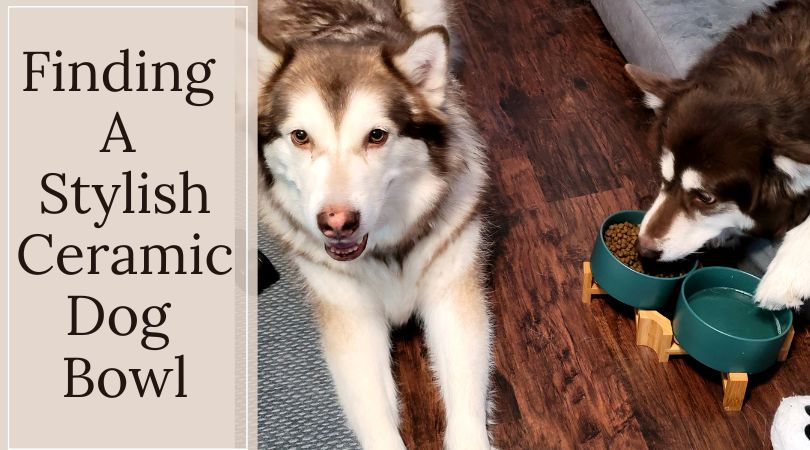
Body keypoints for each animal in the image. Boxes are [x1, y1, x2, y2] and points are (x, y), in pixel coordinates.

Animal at [258, 1, 492, 448]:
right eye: (300, 136)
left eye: (377, 136)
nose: (337, 223)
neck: (388, 246)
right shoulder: (352, 321)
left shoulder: (452, 296)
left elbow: (467, 413)